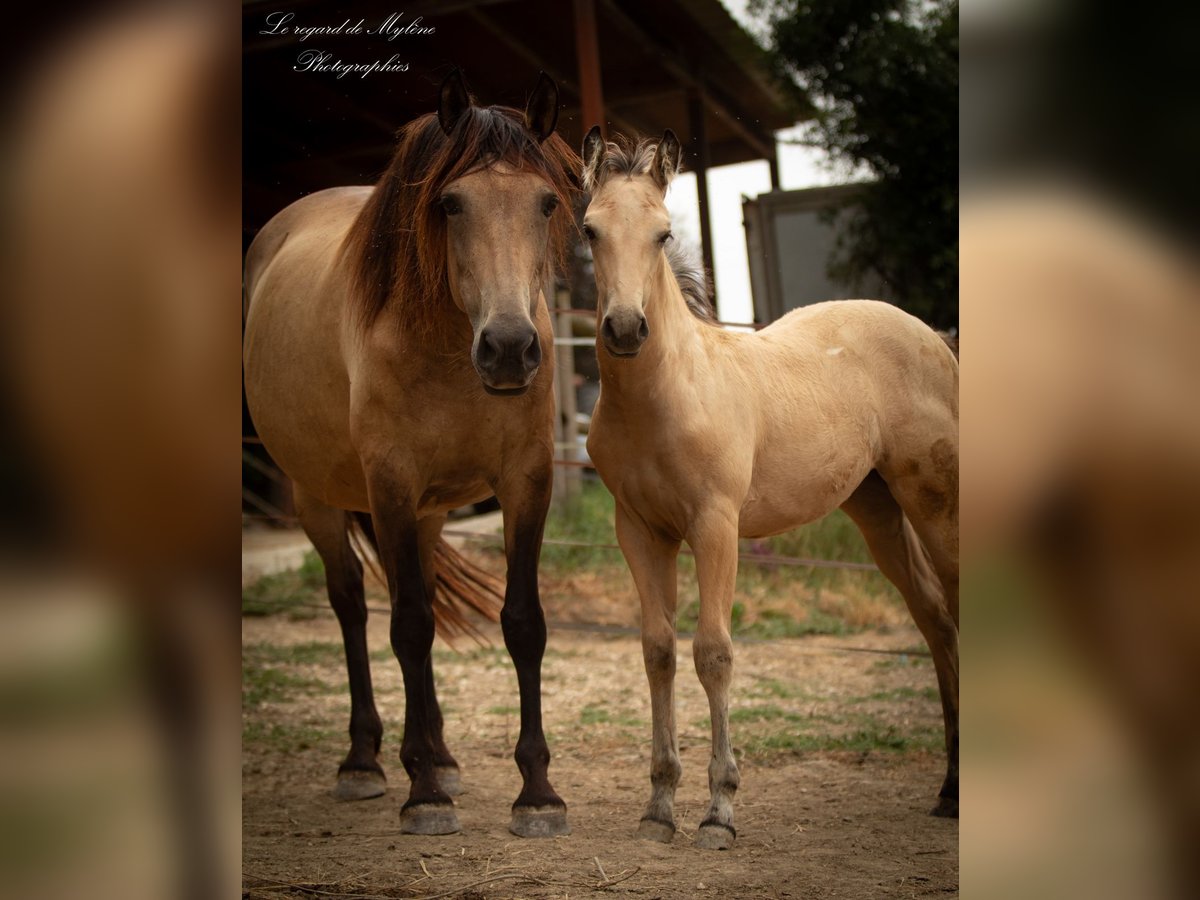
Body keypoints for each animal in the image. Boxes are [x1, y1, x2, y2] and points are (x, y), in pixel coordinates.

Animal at [242, 70, 580, 838]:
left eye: (546, 203)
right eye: (450, 203)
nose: (510, 348)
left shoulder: (526, 481)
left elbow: (522, 623)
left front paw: (537, 793)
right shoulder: (390, 485)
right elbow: (409, 629)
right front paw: (423, 795)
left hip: (426, 513)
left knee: (411, 592)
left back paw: (437, 754)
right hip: (319, 496)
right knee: (355, 607)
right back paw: (367, 761)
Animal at [579, 128, 960, 849]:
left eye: (663, 234)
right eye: (589, 230)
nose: (624, 329)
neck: (667, 394)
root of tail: (933, 336)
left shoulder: (715, 525)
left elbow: (713, 653)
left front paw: (718, 812)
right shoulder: (639, 530)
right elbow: (658, 652)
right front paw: (658, 808)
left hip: (935, 499)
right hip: (876, 509)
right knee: (934, 618)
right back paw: (951, 790)